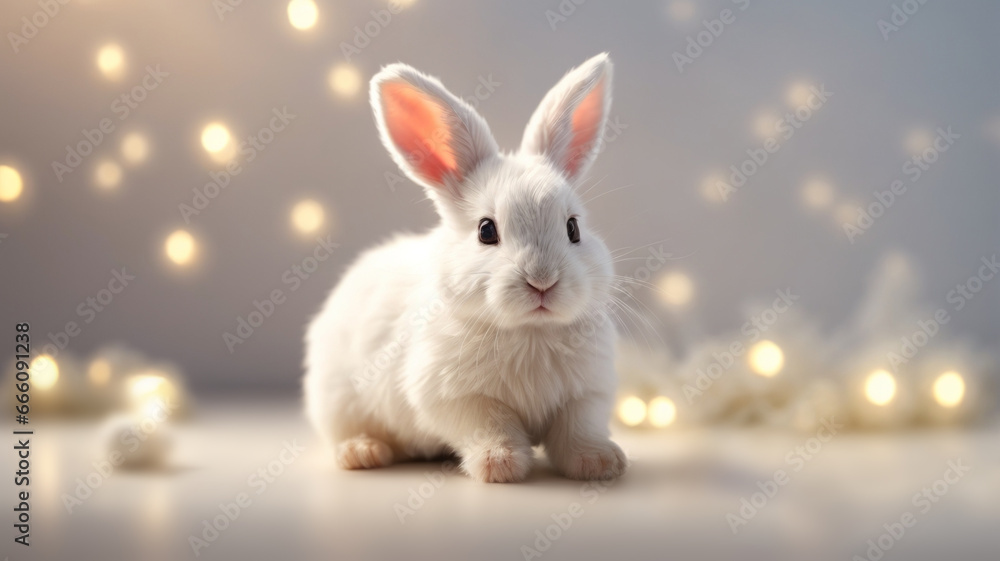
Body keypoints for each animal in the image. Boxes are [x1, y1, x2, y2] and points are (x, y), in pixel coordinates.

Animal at [304, 53, 627, 482]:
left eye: (573, 228)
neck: (530, 332)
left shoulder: (587, 394)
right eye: (486, 230)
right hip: (338, 400)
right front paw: (500, 465)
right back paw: (363, 453)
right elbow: (491, 425)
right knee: (346, 432)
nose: (542, 281)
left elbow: (578, 431)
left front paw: (601, 463)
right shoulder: (457, 397)